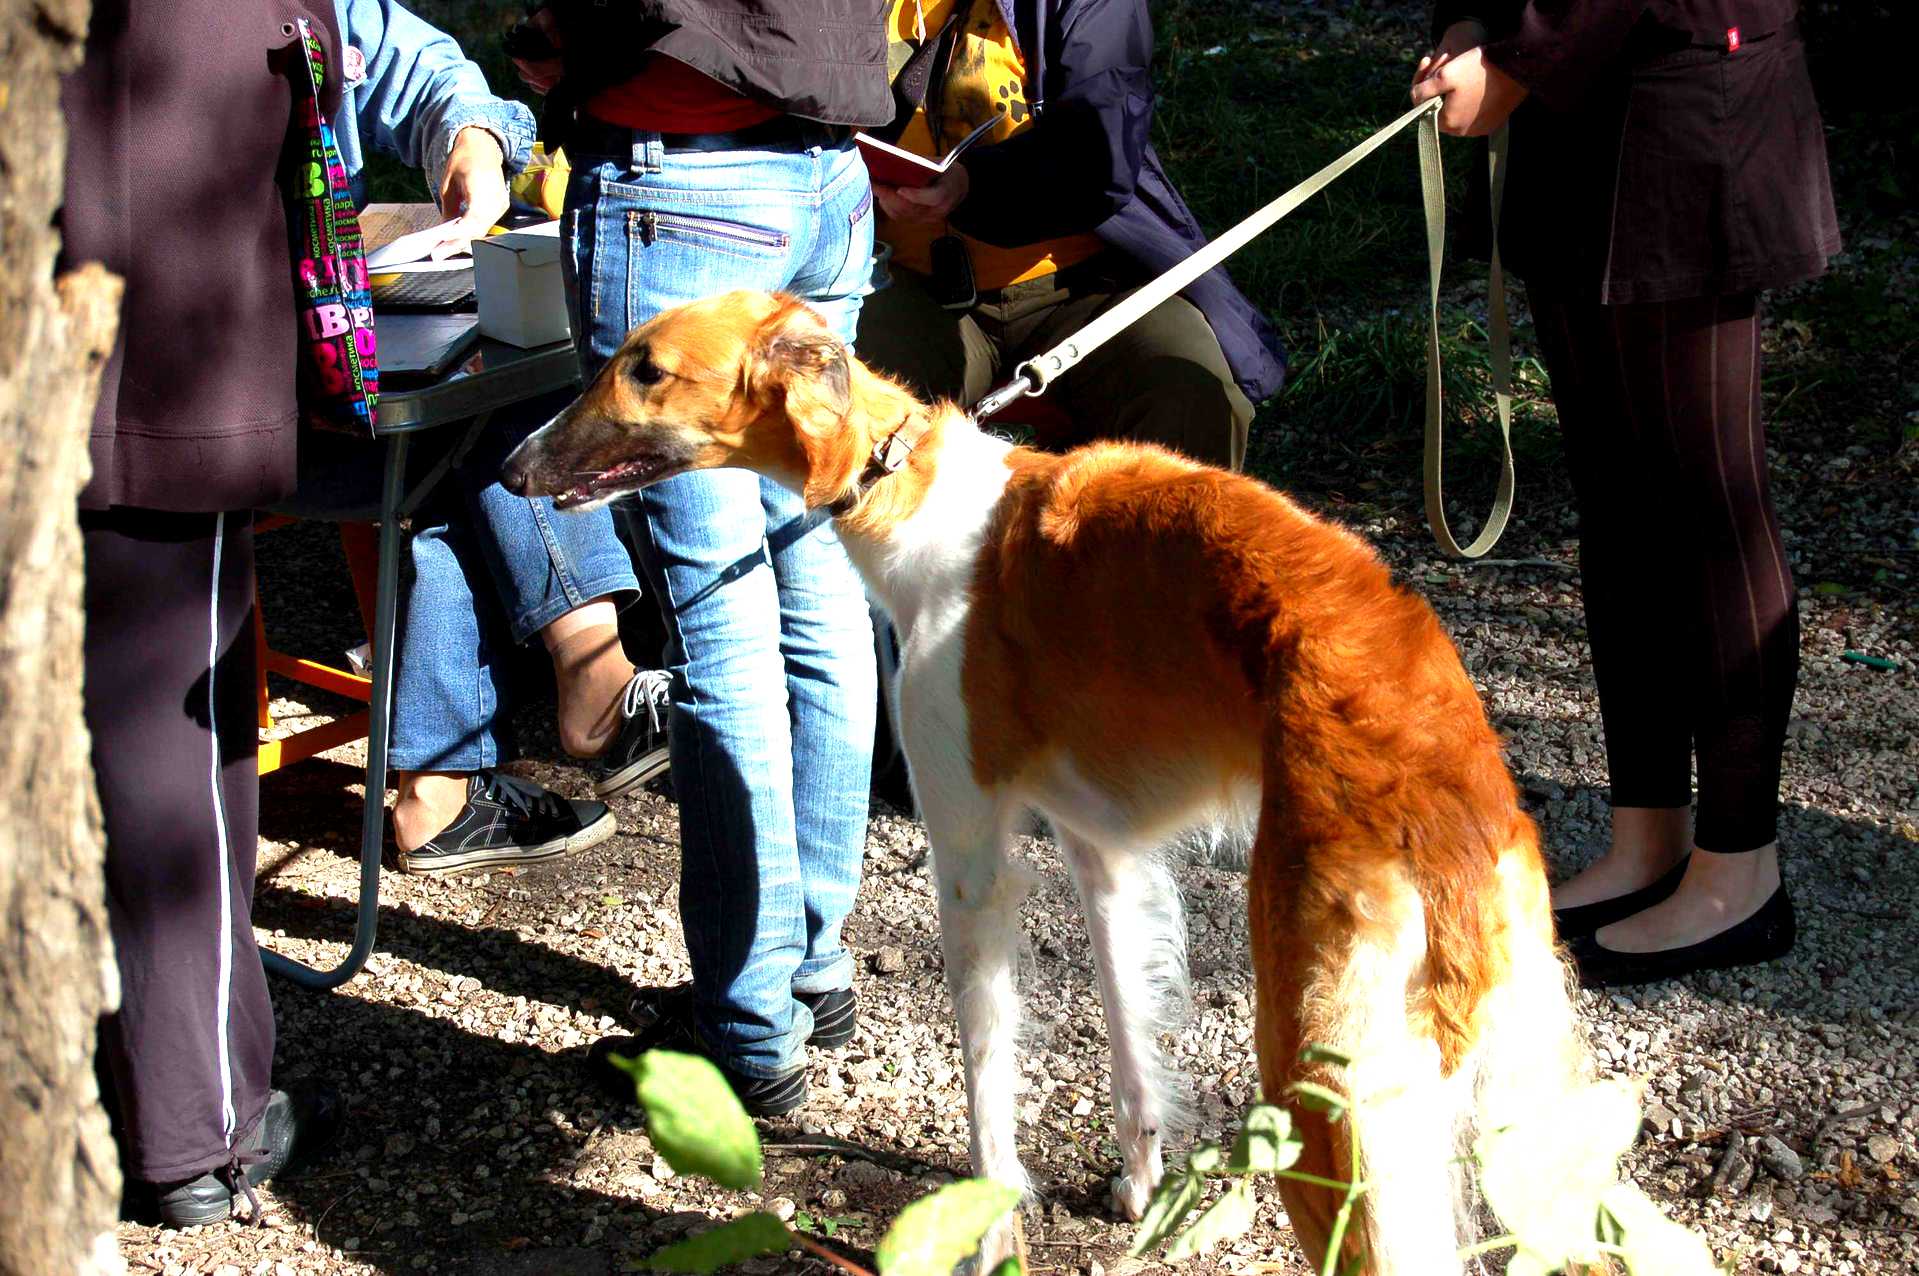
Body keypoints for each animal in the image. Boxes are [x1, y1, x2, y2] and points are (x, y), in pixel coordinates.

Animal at [498, 293, 1588, 1266]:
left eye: (646, 368)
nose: (508, 468)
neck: (910, 497)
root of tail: (1447, 791)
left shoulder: (969, 855)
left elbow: (986, 1075)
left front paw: (989, 1230)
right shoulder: (1099, 846)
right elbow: (1130, 1035)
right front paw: (1139, 1179)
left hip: (1323, 1088)